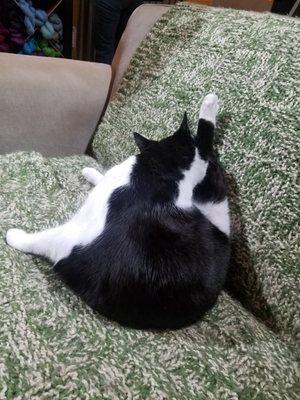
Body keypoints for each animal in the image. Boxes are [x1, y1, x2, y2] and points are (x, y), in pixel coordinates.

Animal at [6, 94, 230, 328]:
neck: (156, 175)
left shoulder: (74, 238)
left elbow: (40, 239)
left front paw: (13, 236)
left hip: (217, 210)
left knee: (209, 159)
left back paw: (209, 104)